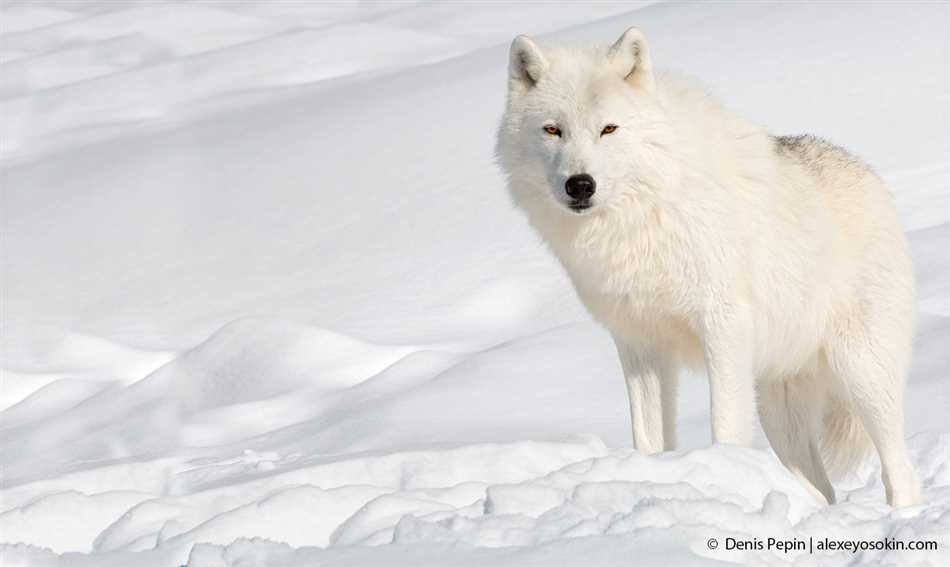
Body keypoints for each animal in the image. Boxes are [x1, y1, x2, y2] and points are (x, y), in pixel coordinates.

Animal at [498, 27, 924, 506]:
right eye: (553, 130)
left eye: (608, 129)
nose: (580, 185)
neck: (642, 216)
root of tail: (872, 177)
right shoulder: (639, 343)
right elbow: (649, 438)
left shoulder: (723, 325)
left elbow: (725, 424)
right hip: (781, 411)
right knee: (822, 491)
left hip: (863, 375)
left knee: (900, 473)